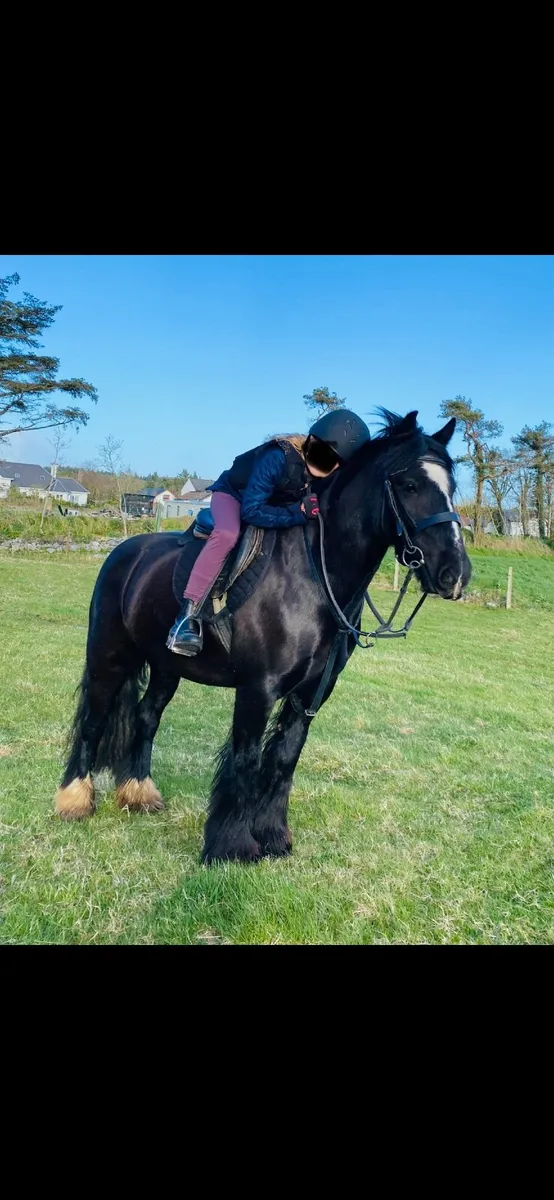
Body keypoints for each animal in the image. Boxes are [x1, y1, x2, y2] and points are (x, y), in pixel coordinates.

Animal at [54, 410, 471, 864]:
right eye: (410, 485)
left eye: (451, 487)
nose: (456, 574)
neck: (313, 577)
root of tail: (124, 552)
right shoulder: (258, 688)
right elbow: (246, 758)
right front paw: (231, 845)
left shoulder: (312, 694)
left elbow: (285, 758)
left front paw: (273, 836)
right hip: (109, 656)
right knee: (94, 720)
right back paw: (74, 800)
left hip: (167, 666)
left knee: (146, 718)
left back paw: (139, 794)